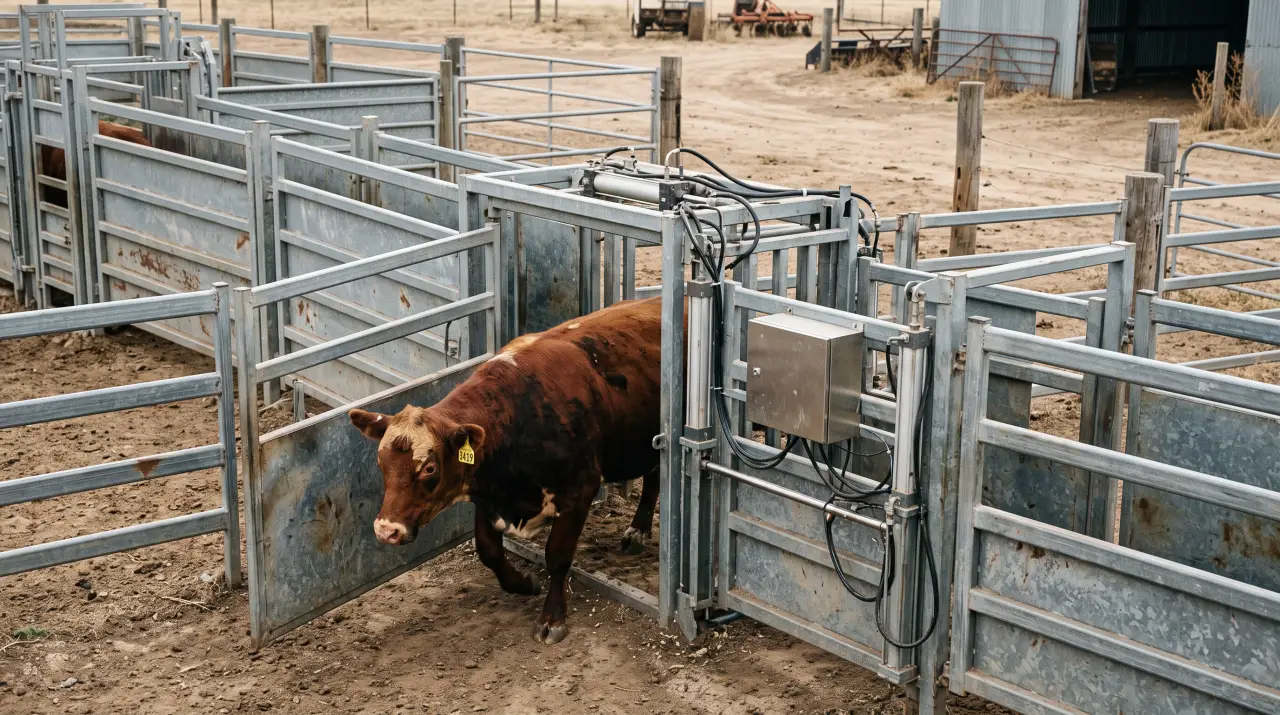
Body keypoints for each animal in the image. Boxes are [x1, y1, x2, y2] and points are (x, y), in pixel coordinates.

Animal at [349, 297, 665, 645]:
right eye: (381, 462)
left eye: (429, 467)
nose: (386, 530)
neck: (520, 412)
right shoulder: (487, 495)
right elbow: (488, 550)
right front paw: (524, 583)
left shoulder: (579, 492)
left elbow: (557, 556)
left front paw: (553, 618)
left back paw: (637, 531)